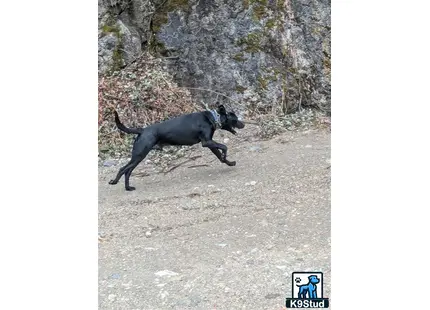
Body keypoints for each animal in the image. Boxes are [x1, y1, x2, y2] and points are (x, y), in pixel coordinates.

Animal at [109, 105, 244, 190]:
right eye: (235, 119)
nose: (244, 124)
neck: (212, 118)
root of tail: (141, 130)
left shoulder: (210, 144)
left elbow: (220, 156)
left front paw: (229, 162)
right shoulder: (207, 142)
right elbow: (224, 147)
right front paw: (225, 156)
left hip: (137, 157)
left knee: (128, 171)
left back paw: (127, 187)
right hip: (139, 154)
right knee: (123, 169)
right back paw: (114, 182)